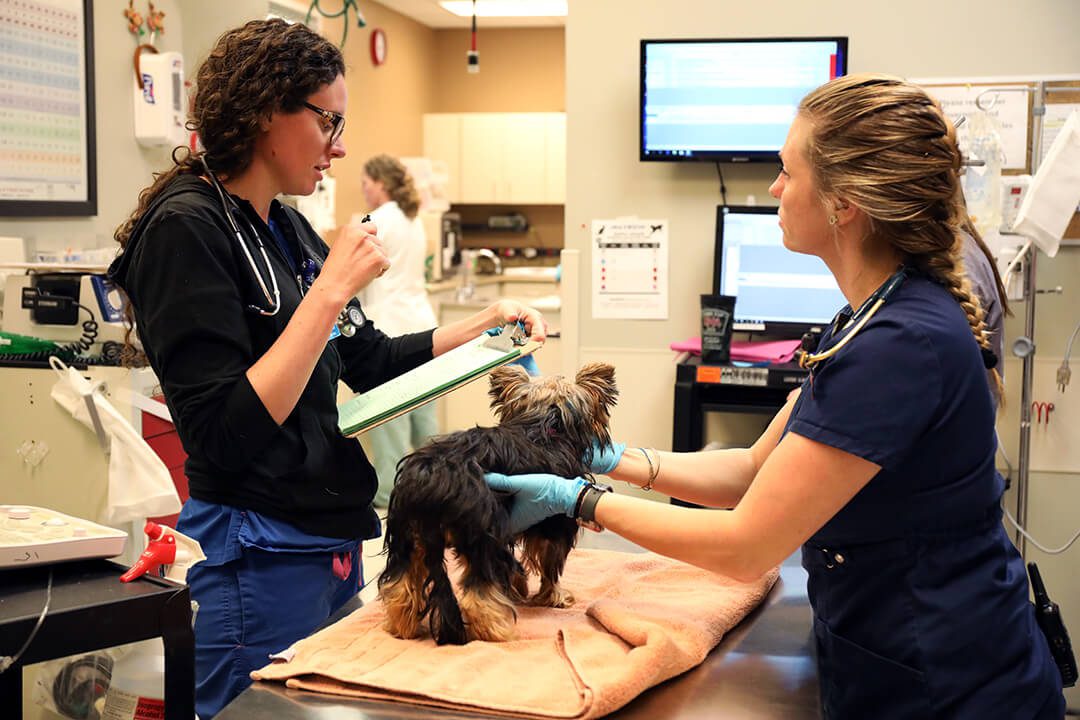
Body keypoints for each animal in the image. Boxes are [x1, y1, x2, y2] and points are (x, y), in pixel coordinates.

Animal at [378, 362, 617, 643]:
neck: (545, 424)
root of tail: (431, 478)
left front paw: (519, 585)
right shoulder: (553, 524)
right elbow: (550, 565)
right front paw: (553, 597)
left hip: (407, 530)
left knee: (400, 586)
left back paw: (402, 627)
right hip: (481, 530)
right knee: (476, 595)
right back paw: (498, 632)